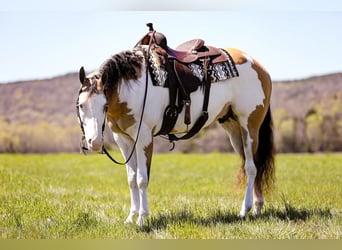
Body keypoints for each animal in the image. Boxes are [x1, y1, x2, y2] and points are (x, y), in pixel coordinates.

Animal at [75, 33, 276, 227]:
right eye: (80, 105)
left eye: (104, 106)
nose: (95, 143)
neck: (132, 87)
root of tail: (258, 65)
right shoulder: (123, 140)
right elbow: (131, 179)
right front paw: (131, 218)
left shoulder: (143, 138)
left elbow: (142, 179)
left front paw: (142, 219)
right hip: (233, 128)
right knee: (252, 164)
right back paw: (257, 207)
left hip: (249, 125)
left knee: (251, 167)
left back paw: (245, 210)